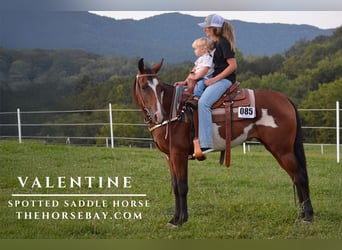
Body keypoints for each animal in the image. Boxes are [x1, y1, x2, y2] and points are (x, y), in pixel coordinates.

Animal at [132, 57, 314, 226]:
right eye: (144, 86)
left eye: (159, 88)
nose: (159, 115)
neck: (176, 110)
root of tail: (286, 100)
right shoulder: (170, 157)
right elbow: (176, 186)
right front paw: (175, 219)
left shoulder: (179, 154)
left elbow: (182, 187)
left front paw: (181, 220)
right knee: (296, 177)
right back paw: (302, 215)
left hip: (282, 150)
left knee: (300, 176)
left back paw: (308, 217)